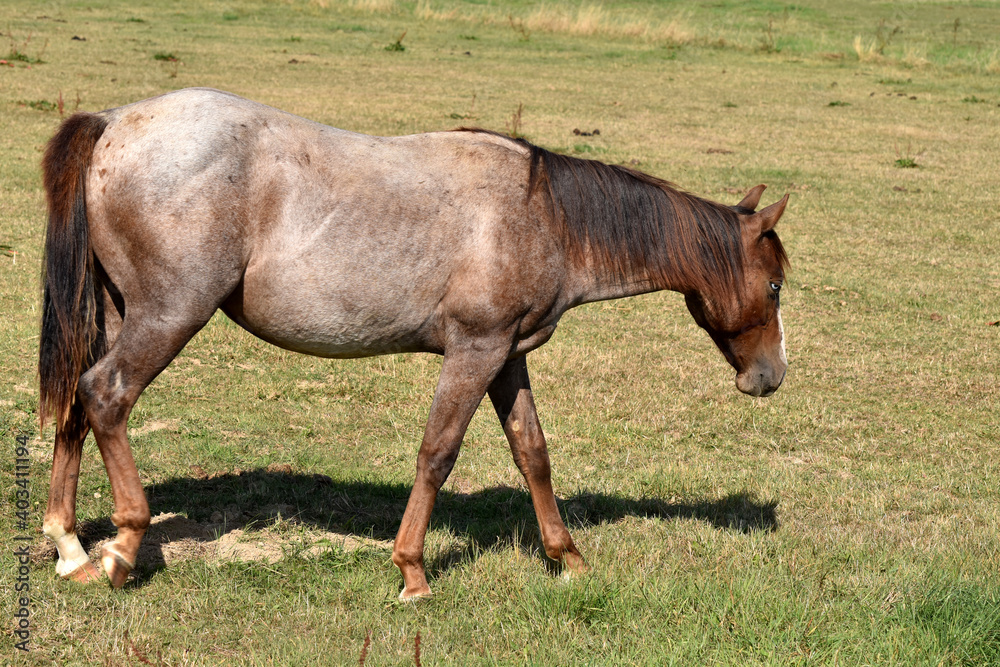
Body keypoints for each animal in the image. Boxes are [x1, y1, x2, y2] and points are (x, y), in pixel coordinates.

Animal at [39, 88, 789, 599]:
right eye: (777, 285)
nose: (771, 376)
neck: (541, 214)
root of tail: (116, 122)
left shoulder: (507, 357)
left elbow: (533, 453)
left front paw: (567, 556)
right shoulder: (475, 352)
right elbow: (437, 453)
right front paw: (413, 571)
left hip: (117, 315)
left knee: (77, 396)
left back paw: (70, 546)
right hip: (169, 316)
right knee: (107, 395)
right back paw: (122, 547)